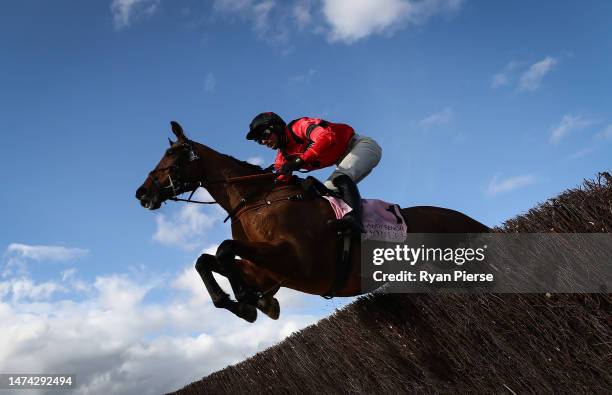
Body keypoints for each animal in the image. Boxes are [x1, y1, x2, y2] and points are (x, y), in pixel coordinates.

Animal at [134, 122, 488, 324]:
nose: (142, 193)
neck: (257, 199)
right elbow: (205, 260)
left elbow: (223, 249)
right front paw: (246, 302)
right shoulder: (266, 270)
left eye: (173, 156)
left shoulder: (298, 261)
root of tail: (468, 219)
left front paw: (248, 299)